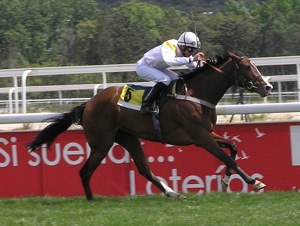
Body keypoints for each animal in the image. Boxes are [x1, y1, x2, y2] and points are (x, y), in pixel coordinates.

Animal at [27, 51, 272, 200]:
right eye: (247, 67)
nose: (267, 87)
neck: (196, 94)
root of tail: (89, 103)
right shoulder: (200, 137)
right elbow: (227, 157)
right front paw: (254, 182)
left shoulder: (207, 132)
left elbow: (233, 147)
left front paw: (225, 181)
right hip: (101, 142)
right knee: (85, 171)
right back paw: (91, 200)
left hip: (128, 137)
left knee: (144, 169)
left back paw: (173, 193)